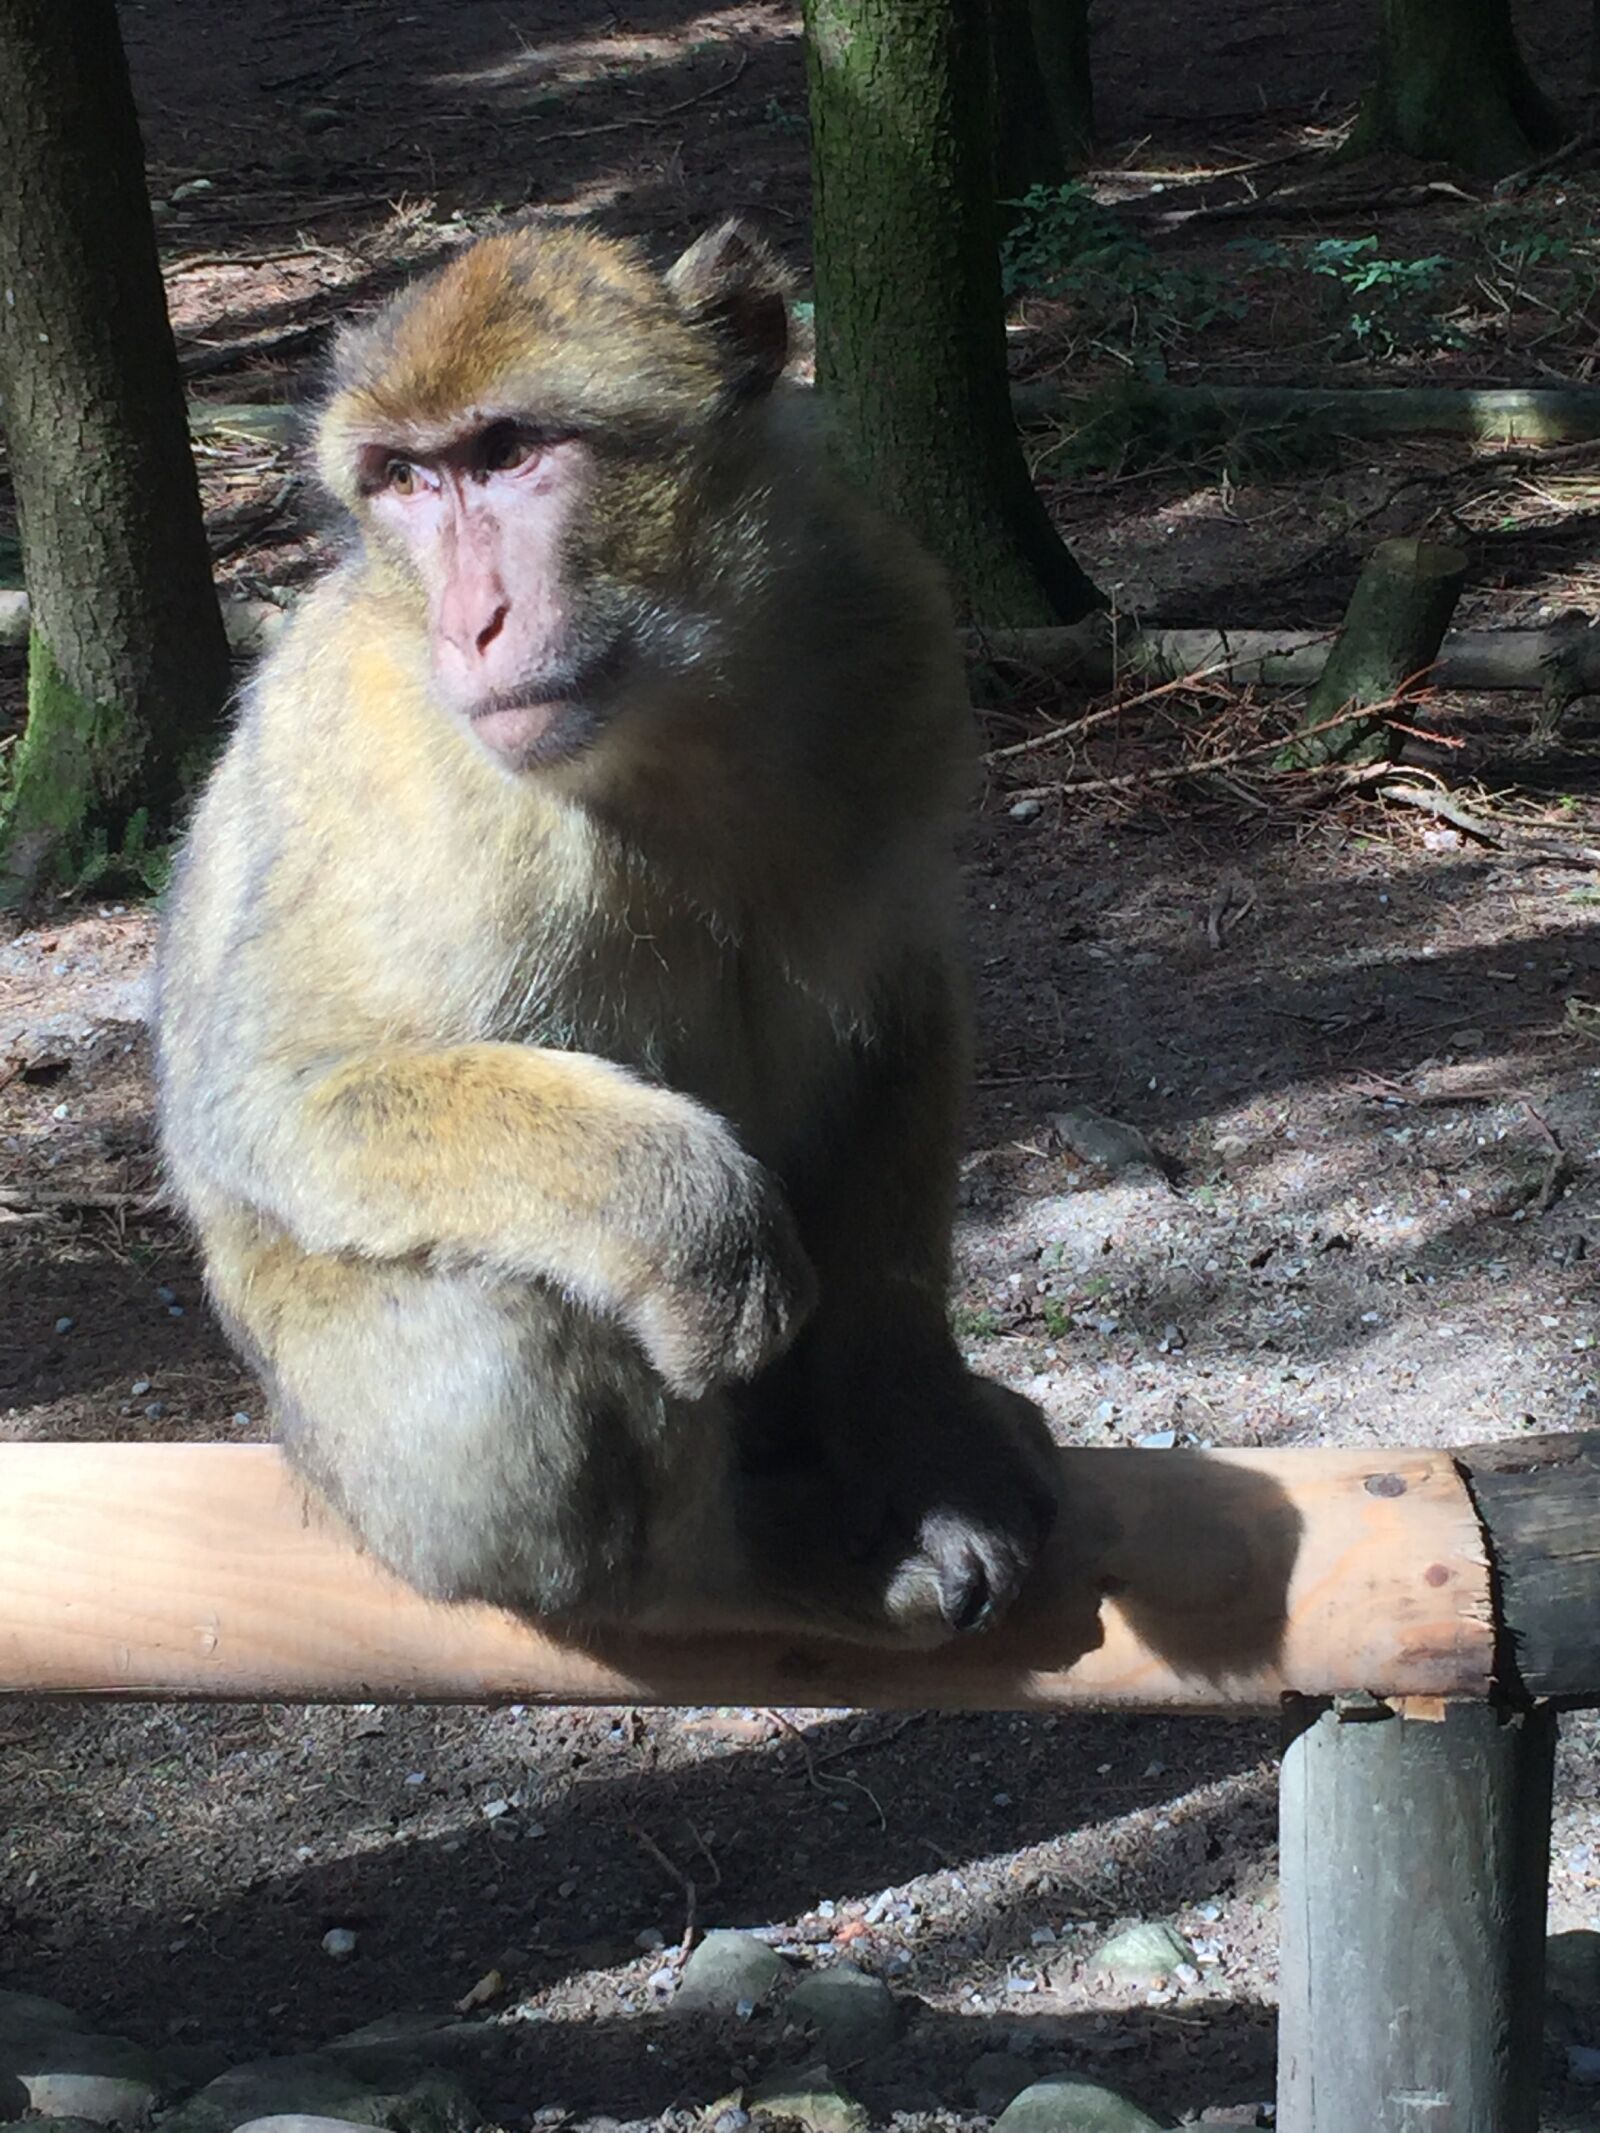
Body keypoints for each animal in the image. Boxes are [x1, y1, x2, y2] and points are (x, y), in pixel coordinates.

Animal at [154, 217, 1059, 1647]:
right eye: (404, 480)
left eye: (507, 452)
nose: (471, 624)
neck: (672, 719)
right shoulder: (411, 775)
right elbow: (267, 1099)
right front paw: (699, 1226)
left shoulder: (892, 633)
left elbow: (899, 1009)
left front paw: (917, 1434)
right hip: (376, 1478)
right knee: (507, 1330)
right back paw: (729, 1570)